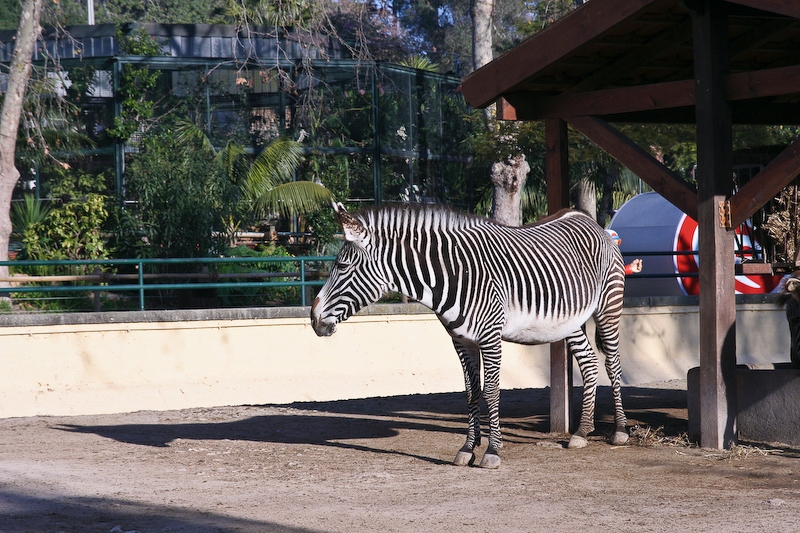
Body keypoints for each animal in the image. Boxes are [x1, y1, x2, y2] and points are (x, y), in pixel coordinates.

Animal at [310, 203, 629, 468]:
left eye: (341, 266)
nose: (313, 319)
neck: (452, 276)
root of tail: (587, 219)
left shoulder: (490, 337)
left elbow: (492, 391)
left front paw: (492, 451)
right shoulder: (461, 341)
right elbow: (472, 392)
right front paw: (468, 448)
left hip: (608, 306)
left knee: (612, 364)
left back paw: (620, 431)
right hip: (569, 321)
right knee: (589, 363)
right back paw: (582, 432)